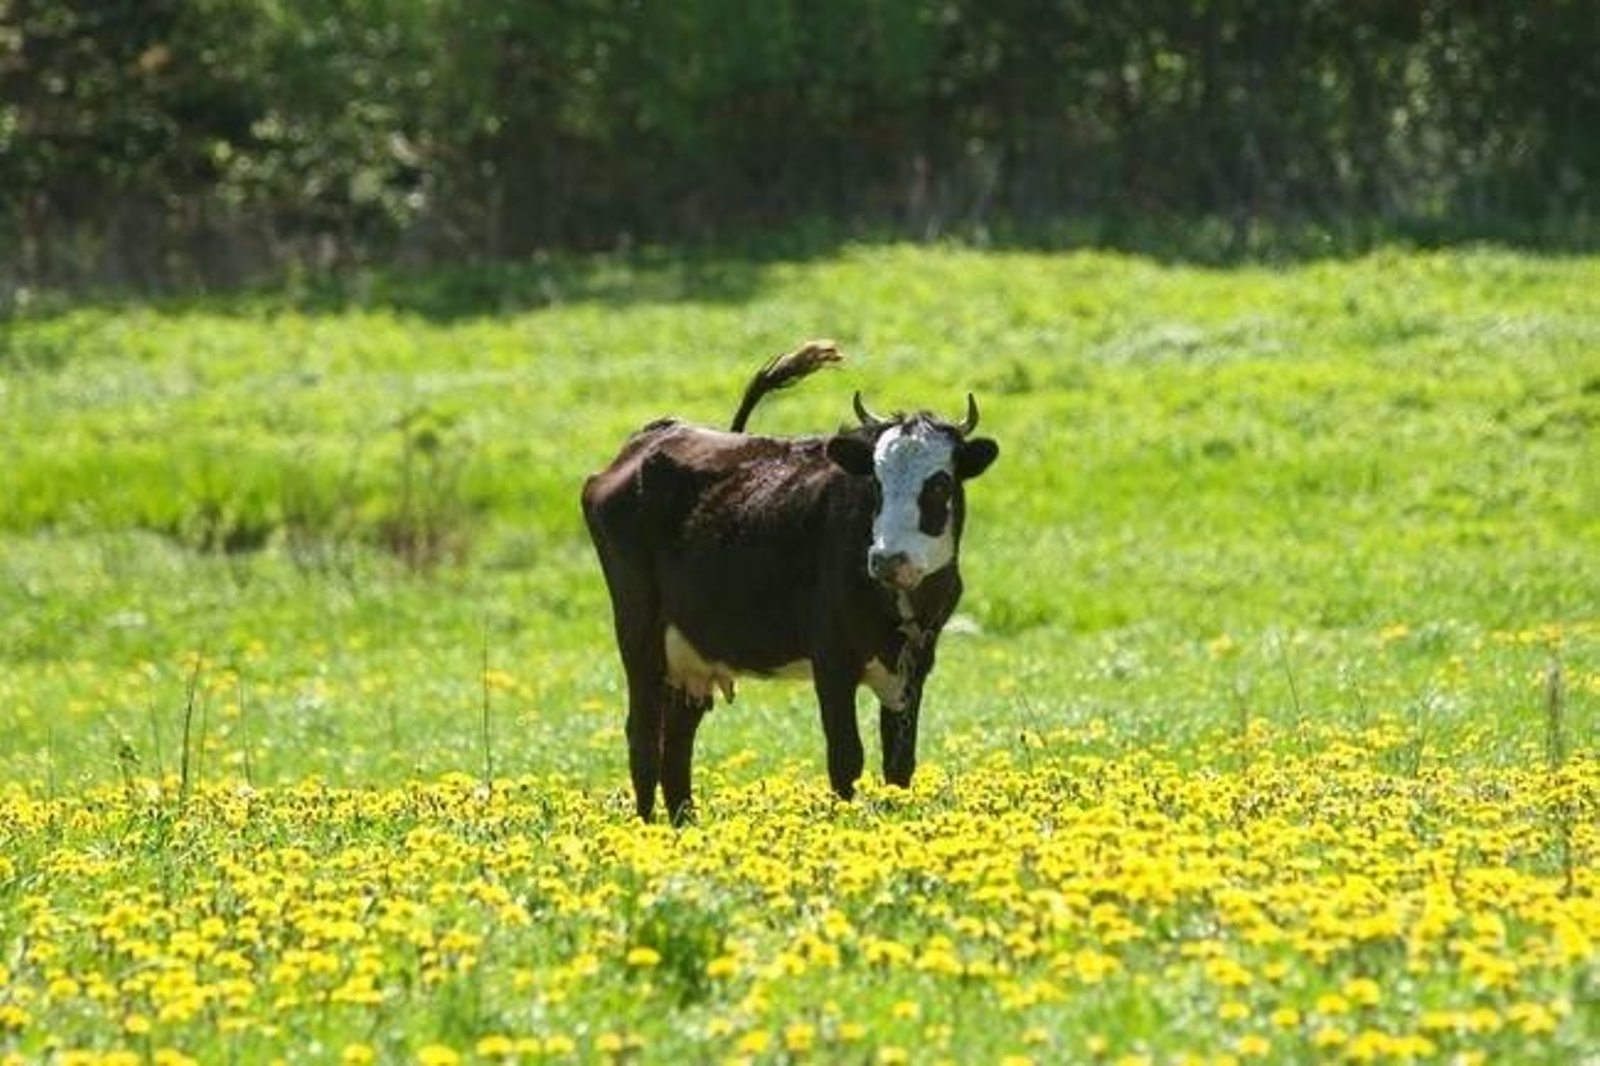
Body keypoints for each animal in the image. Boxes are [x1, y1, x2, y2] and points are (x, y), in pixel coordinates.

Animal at [581, 341, 998, 823]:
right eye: (876, 484)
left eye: (939, 485)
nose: (887, 558)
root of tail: (652, 436)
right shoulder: (831, 660)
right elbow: (846, 759)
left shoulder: (916, 664)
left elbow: (899, 764)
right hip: (638, 632)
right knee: (644, 738)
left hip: (692, 655)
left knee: (677, 746)